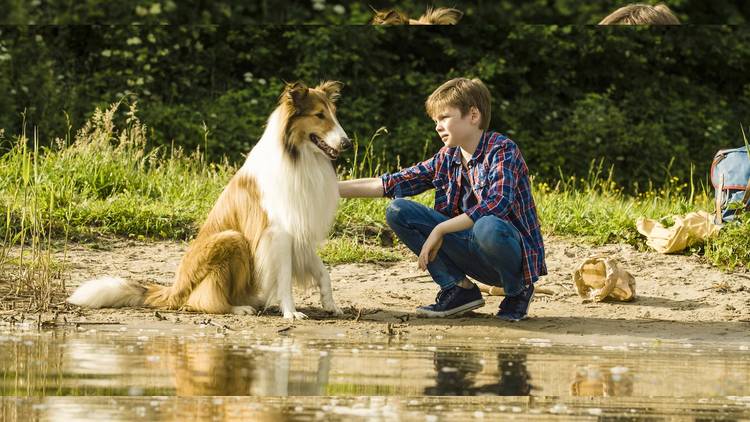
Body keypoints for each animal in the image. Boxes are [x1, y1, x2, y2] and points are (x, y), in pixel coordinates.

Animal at [69, 81, 352, 320]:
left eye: (334, 114)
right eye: (319, 115)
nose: (347, 143)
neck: (298, 156)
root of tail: (175, 288)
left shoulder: (300, 229)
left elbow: (323, 271)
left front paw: (330, 304)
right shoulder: (279, 232)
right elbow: (283, 278)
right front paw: (291, 313)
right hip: (230, 238)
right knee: (202, 300)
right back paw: (238, 308)